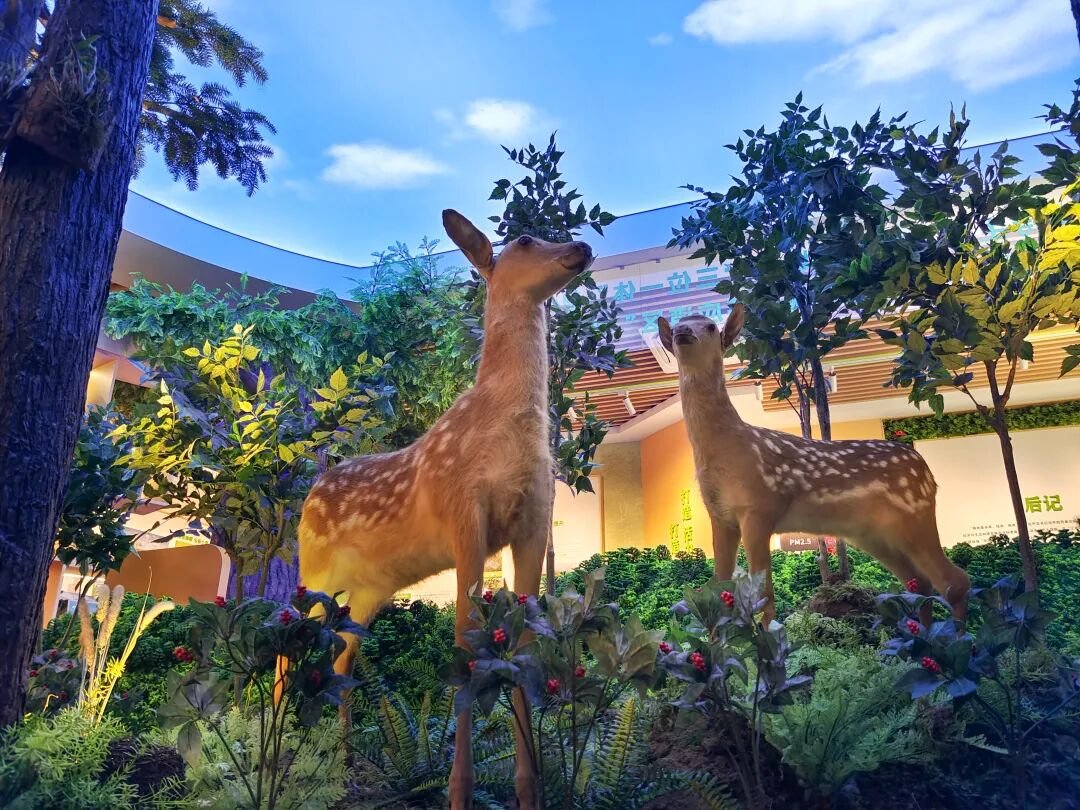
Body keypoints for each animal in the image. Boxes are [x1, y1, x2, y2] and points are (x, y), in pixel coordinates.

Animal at [291, 209, 593, 810]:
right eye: (525, 239)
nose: (581, 246)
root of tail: (310, 493)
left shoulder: (533, 523)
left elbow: (522, 645)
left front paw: (530, 789)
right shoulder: (464, 514)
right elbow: (463, 639)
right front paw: (459, 792)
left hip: (366, 593)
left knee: (339, 660)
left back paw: (342, 770)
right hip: (314, 573)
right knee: (290, 648)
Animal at [657, 305, 970, 628]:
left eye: (710, 327)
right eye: (678, 325)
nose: (683, 333)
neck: (725, 449)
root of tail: (929, 475)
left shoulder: (759, 507)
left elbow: (765, 597)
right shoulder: (720, 516)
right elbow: (719, 591)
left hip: (914, 514)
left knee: (954, 582)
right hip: (873, 533)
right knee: (920, 581)